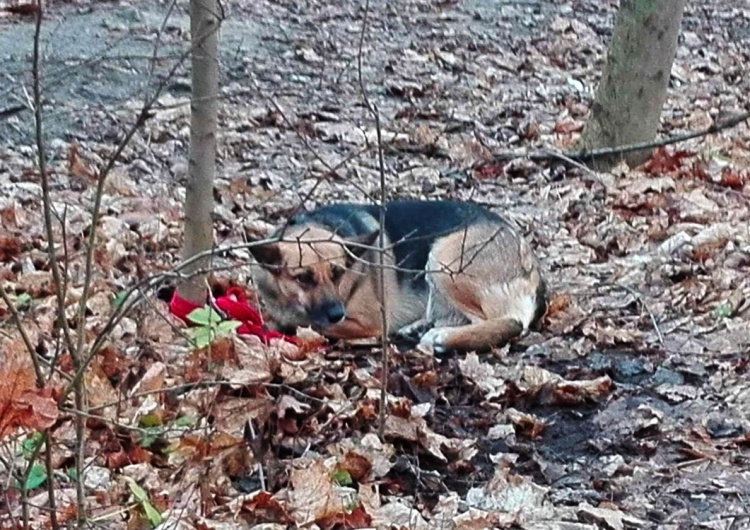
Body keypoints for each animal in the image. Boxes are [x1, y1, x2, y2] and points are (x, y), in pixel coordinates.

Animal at [250, 198, 548, 350]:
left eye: (338, 273)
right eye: (303, 277)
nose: (337, 313)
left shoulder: (369, 322)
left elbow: (312, 326)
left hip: (444, 258)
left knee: (510, 322)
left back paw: (443, 338)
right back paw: (421, 328)